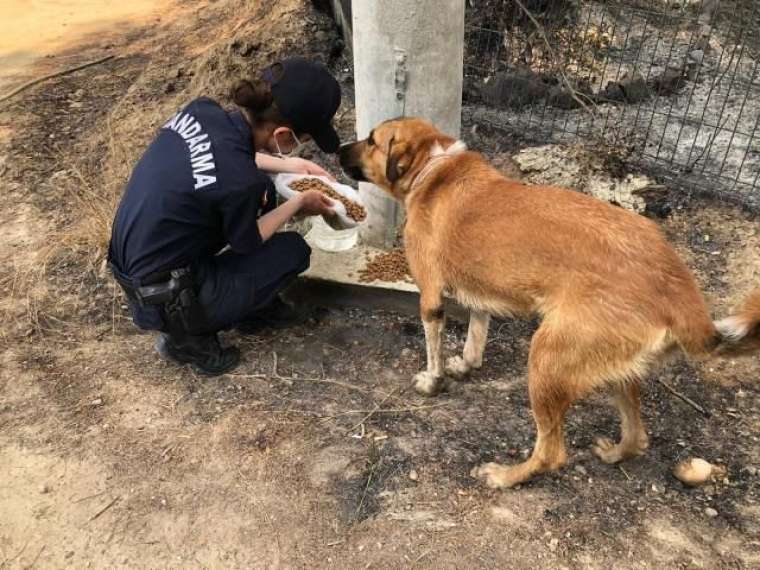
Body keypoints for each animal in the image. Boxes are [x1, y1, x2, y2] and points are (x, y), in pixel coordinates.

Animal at [342, 116, 760, 488]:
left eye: (372, 140)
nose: (337, 147)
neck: (434, 167)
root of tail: (675, 284)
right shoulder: (481, 291)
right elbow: (476, 335)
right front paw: (464, 365)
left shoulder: (430, 294)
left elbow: (434, 348)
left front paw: (433, 381)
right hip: (615, 371)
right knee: (637, 435)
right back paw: (614, 453)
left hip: (545, 358)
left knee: (552, 452)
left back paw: (504, 477)